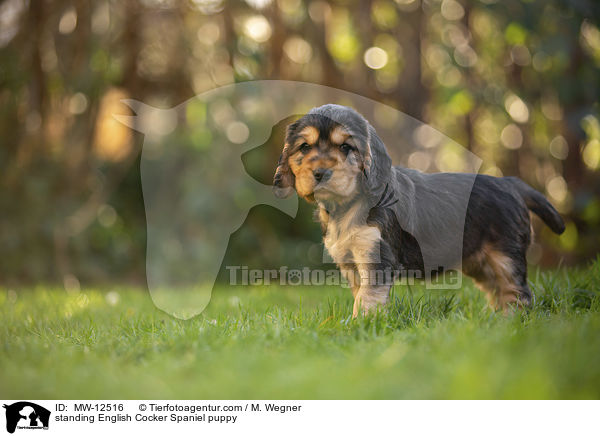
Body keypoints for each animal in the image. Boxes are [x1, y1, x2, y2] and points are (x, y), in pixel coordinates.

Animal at [274, 105, 564, 316]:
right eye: (305, 147)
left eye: (346, 147)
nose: (320, 173)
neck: (347, 206)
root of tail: (511, 183)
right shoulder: (352, 264)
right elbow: (360, 295)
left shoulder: (377, 258)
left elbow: (367, 299)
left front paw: (358, 326)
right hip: (481, 263)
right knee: (500, 293)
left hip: (506, 256)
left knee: (518, 292)